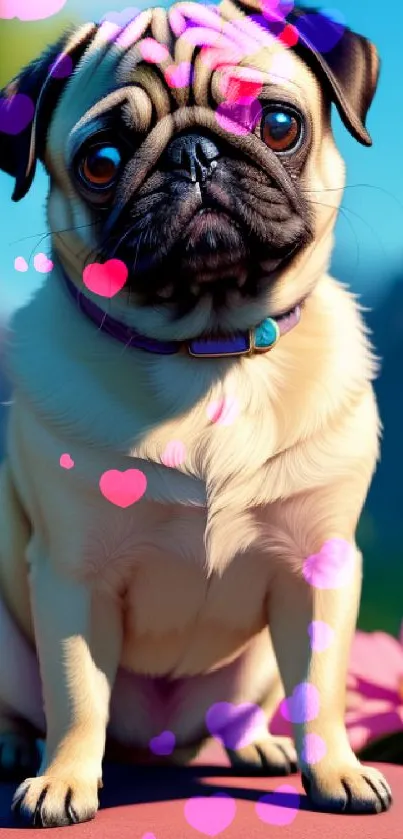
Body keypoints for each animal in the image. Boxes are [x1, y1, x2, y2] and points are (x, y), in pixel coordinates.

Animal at [0, 0, 392, 828]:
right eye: (101, 161)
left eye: (277, 123)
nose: (195, 155)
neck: (208, 354)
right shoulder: (73, 576)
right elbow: (75, 692)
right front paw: (63, 781)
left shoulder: (320, 566)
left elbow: (320, 688)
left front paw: (335, 771)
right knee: (32, 702)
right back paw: (21, 745)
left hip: (250, 672)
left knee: (246, 707)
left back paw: (257, 744)